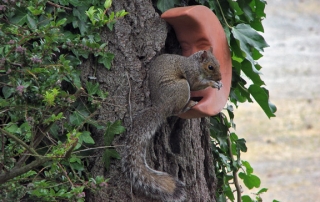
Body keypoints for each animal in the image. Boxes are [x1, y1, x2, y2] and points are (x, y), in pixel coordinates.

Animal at [121, 47, 221, 200]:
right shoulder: (190, 74)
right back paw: (189, 104)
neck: (195, 64)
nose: (220, 78)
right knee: (177, 110)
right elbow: (195, 85)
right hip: (182, 87)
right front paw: (212, 84)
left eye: (219, 64)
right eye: (210, 67)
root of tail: (162, 108)